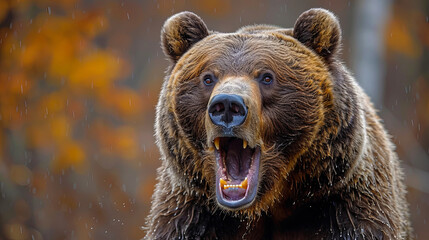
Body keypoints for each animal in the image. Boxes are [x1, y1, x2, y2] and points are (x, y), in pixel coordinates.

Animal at [144, 8, 412, 239]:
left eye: (266, 77)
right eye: (208, 78)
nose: (228, 105)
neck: (269, 204)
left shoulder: (346, 206)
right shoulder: (191, 215)